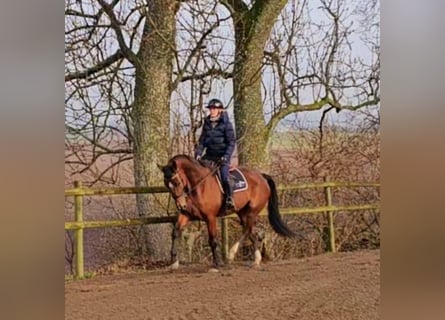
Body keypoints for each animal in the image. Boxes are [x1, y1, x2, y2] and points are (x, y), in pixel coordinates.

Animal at [158, 154, 296, 268]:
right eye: (166, 184)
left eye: (176, 182)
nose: (180, 205)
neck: (199, 186)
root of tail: (261, 176)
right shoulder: (186, 215)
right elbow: (175, 233)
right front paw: (173, 261)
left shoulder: (210, 217)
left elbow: (212, 240)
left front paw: (217, 263)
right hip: (242, 212)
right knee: (250, 231)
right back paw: (251, 258)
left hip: (252, 211)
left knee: (248, 230)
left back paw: (235, 256)